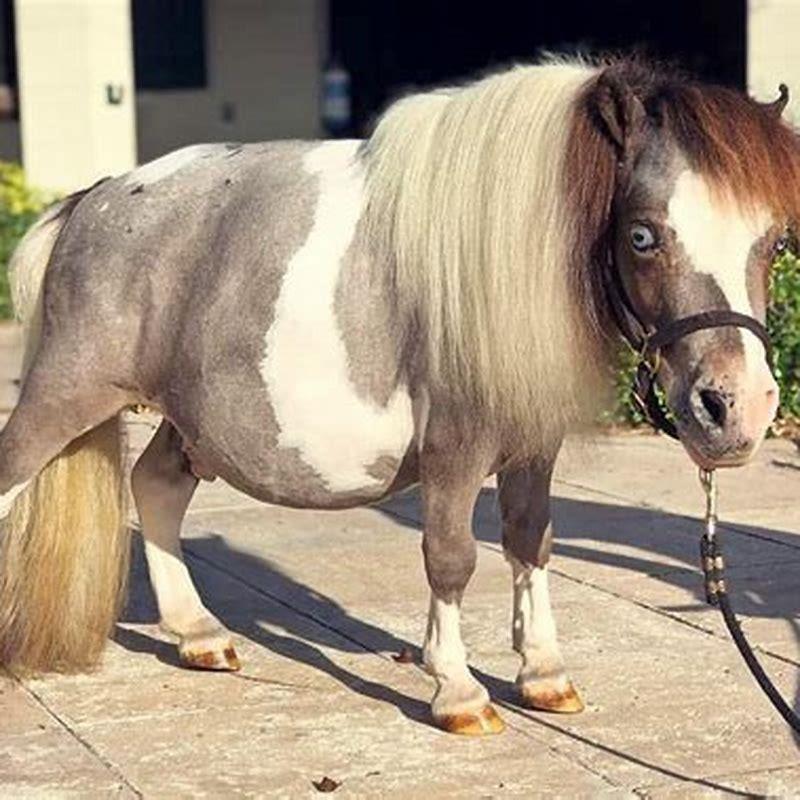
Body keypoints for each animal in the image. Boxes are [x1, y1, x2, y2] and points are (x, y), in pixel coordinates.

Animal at [1, 57, 799, 737]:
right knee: (17, 477)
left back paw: (199, 635)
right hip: (68, 389)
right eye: (641, 236)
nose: (738, 407)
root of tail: (95, 199)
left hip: (188, 414)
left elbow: (529, 539)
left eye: (775, 244)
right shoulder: (454, 446)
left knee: (157, 487)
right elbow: (451, 556)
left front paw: (543, 673)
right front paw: (458, 690)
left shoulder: (532, 443)